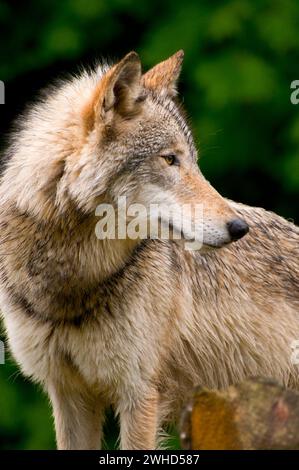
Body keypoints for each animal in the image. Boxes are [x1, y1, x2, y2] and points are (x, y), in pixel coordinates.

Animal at [0, 49, 299, 450]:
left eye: (193, 161)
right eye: (170, 159)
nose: (239, 228)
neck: (73, 283)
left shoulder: (140, 395)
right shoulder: (68, 394)